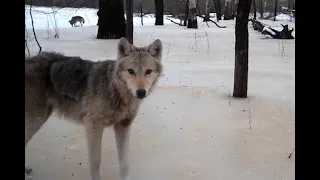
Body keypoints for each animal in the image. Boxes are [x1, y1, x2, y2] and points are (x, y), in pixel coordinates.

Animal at [25, 37, 164, 180]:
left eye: (148, 71)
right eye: (131, 71)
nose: (141, 92)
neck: (114, 90)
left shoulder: (123, 126)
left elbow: (124, 164)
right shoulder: (93, 126)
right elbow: (96, 162)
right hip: (35, 121)